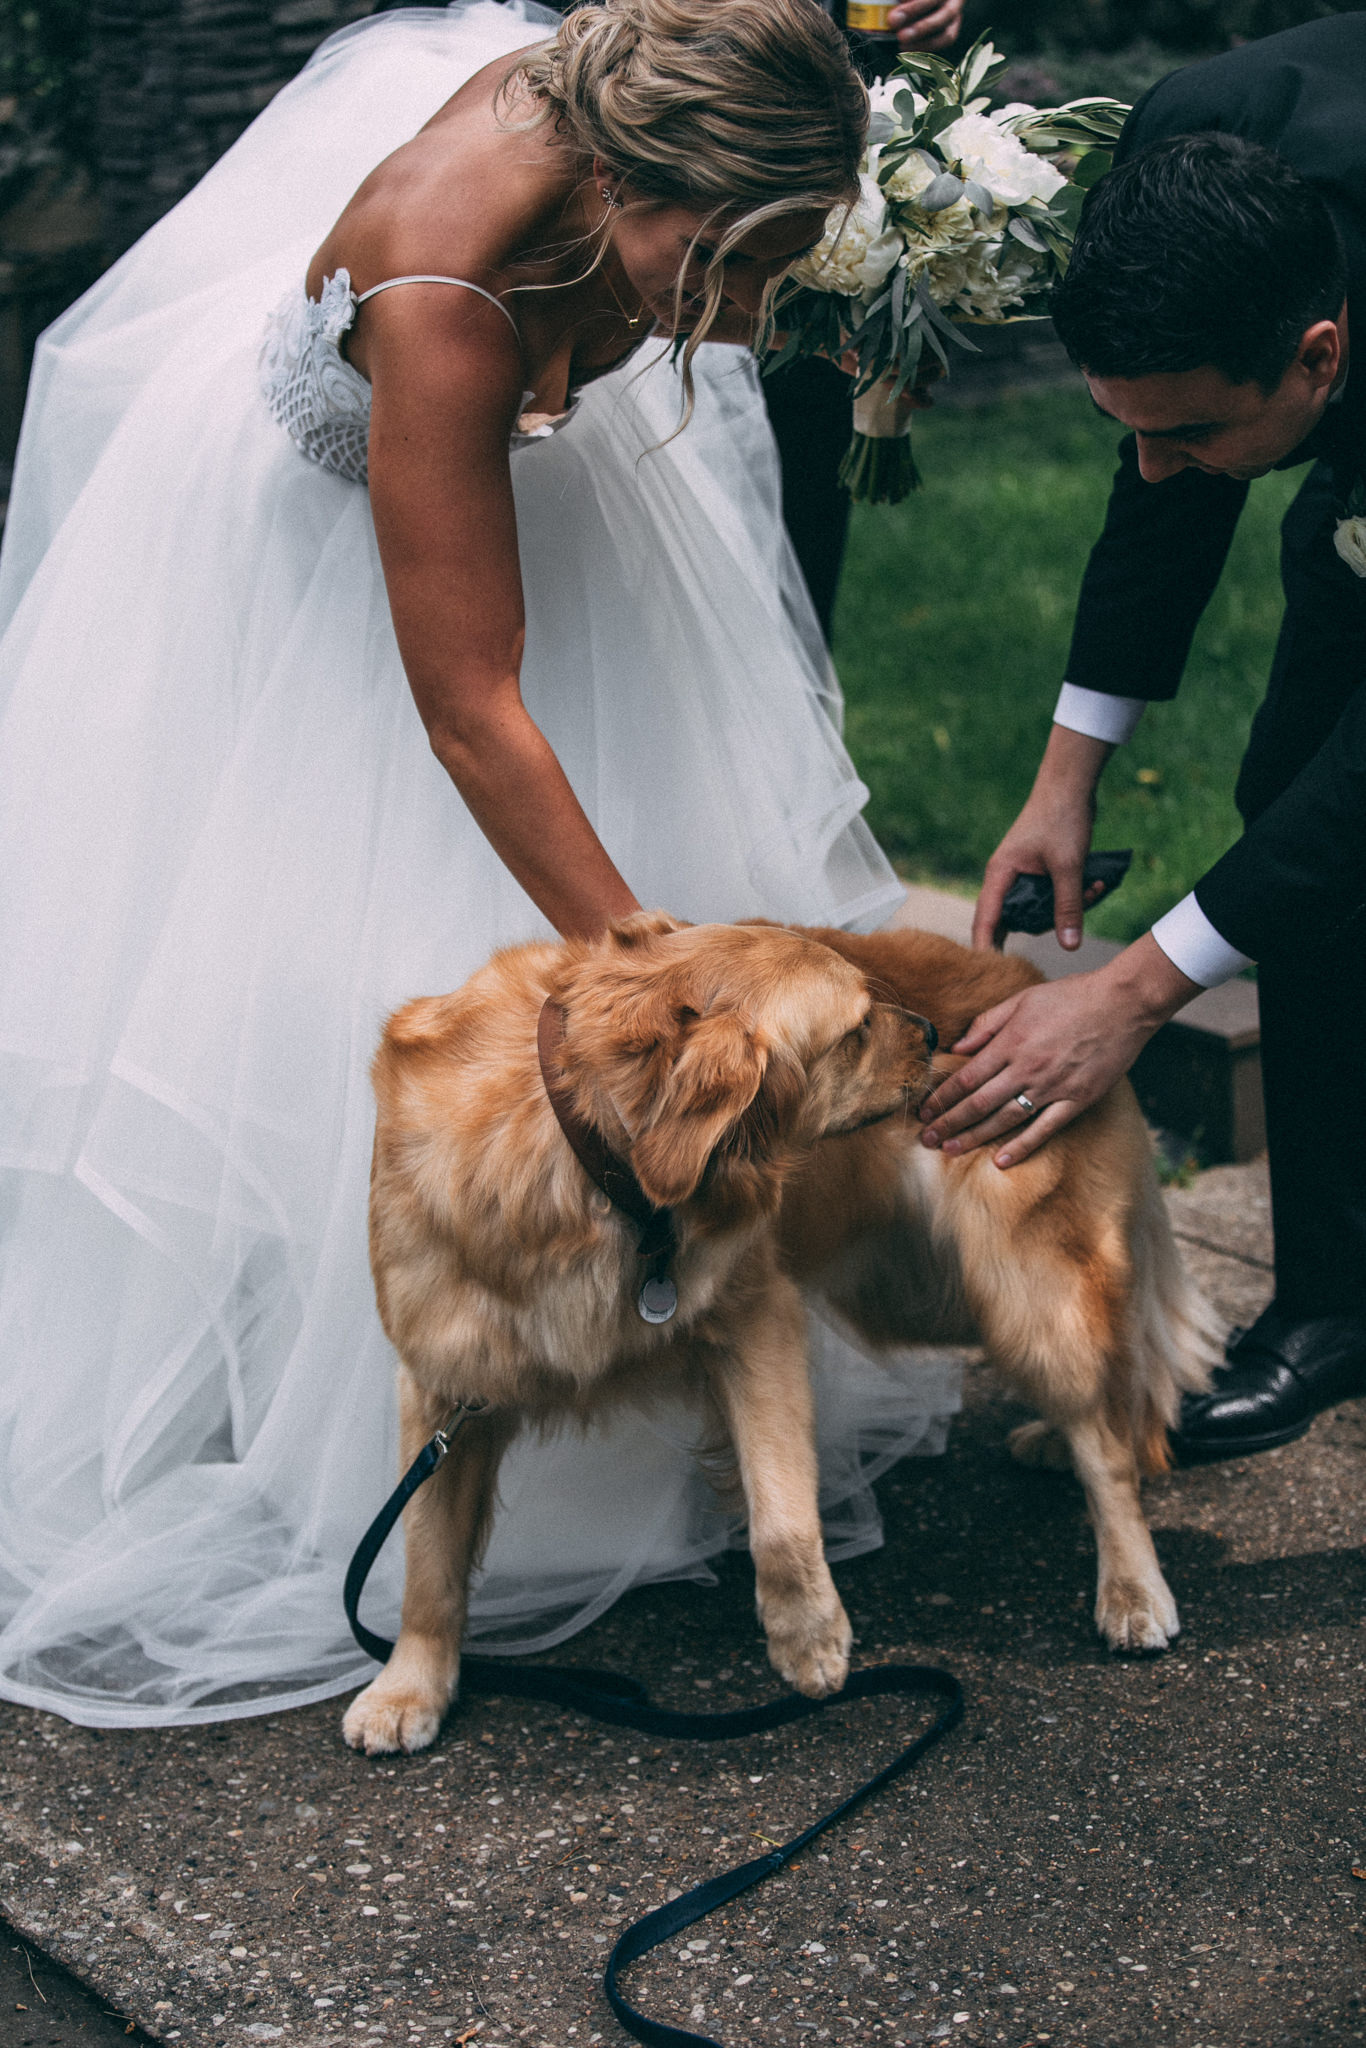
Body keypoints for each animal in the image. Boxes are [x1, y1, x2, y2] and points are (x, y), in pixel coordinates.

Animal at [342, 921, 942, 1753]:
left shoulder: (758, 1316)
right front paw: (409, 1687)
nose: (936, 1034)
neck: (591, 1163)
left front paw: (809, 1635)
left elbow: (783, 1514)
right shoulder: (442, 1382)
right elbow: (428, 1559)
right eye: (856, 1030)